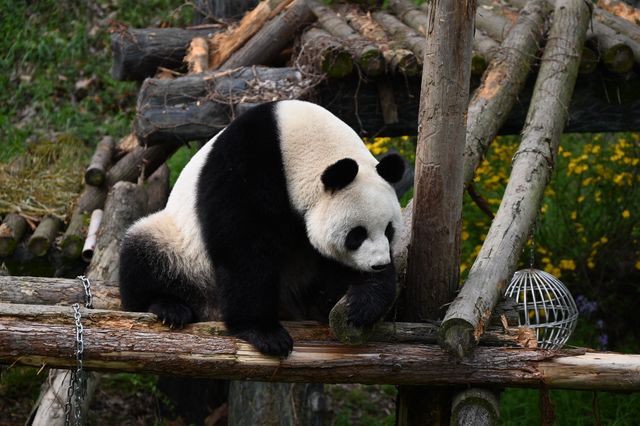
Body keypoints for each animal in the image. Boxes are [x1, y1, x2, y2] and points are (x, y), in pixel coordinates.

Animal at [117, 100, 402, 356]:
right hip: (182, 251)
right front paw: (265, 334)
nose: (378, 265)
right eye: (357, 234)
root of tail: (210, 309)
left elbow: (330, 261)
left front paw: (362, 303)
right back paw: (167, 307)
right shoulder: (247, 163)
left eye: (388, 230)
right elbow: (243, 247)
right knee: (142, 253)